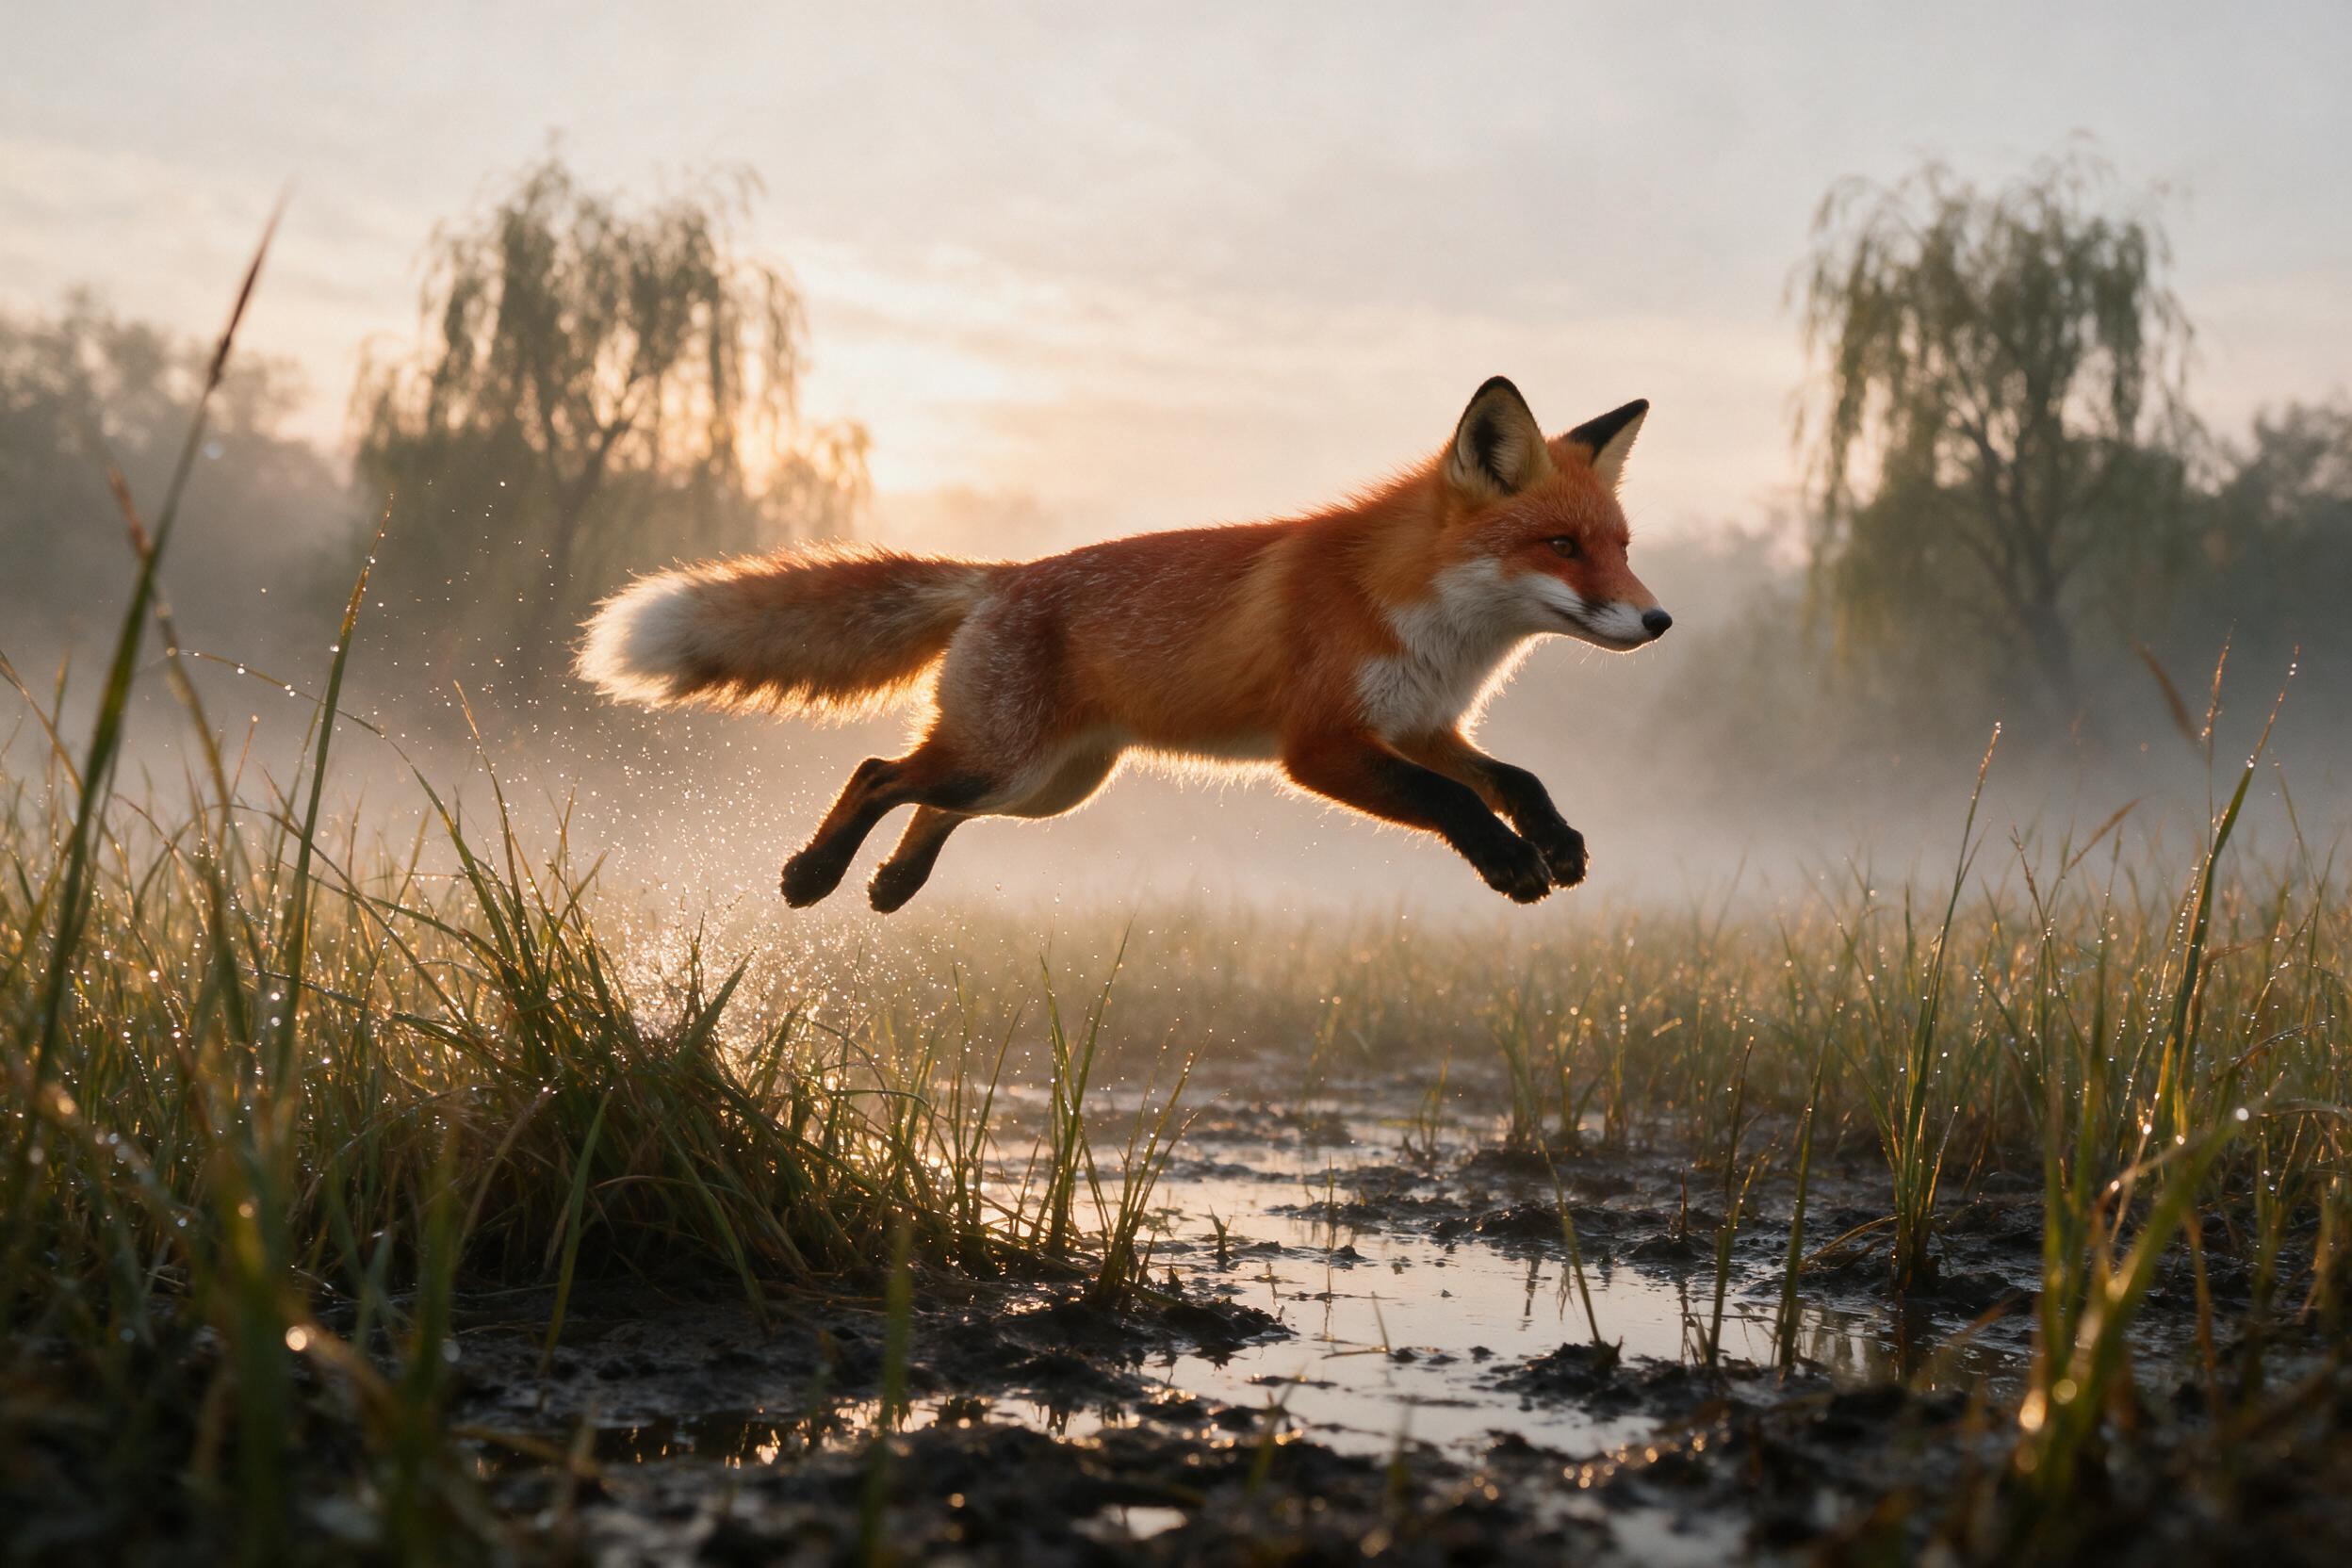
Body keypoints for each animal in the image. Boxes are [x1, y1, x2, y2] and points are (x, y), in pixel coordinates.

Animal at [577, 377, 1672, 911]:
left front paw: (1556, 842)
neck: (1428, 621)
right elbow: (1457, 803)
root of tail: (1004, 576)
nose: (1658, 620)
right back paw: (815, 874)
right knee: (879, 773)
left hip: (1046, 787)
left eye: (1621, 547)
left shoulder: (1420, 725)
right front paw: (1510, 863)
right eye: (1562, 546)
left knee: (928, 802)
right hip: (1005, 763)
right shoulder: (1323, 746)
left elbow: (1515, 776)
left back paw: (893, 884)